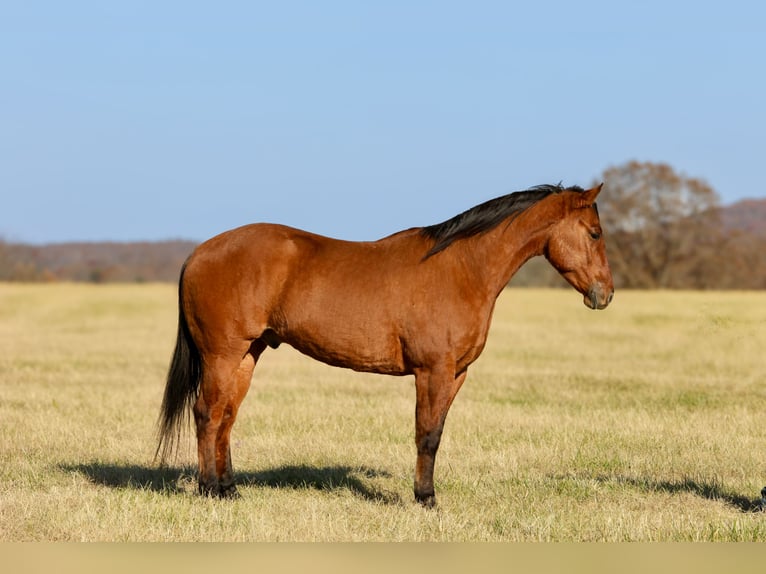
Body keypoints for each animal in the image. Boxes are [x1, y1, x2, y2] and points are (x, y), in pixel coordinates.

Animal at [156, 183, 614, 507]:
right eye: (594, 233)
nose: (605, 294)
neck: (462, 270)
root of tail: (199, 253)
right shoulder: (433, 371)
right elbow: (427, 435)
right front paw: (426, 499)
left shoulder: (457, 374)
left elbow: (436, 431)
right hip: (222, 355)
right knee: (207, 414)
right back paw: (208, 489)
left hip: (247, 356)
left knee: (227, 417)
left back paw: (230, 489)